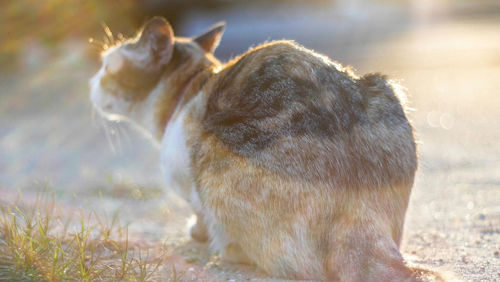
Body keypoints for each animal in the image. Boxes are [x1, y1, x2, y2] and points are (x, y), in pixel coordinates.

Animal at [91, 17, 442, 280]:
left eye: (106, 68)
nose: (91, 82)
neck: (187, 90)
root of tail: (364, 222)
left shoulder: (189, 183)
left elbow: (199, 214)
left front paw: (200, 234)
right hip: (385, 90)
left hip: (211, 153)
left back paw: (227, 251)